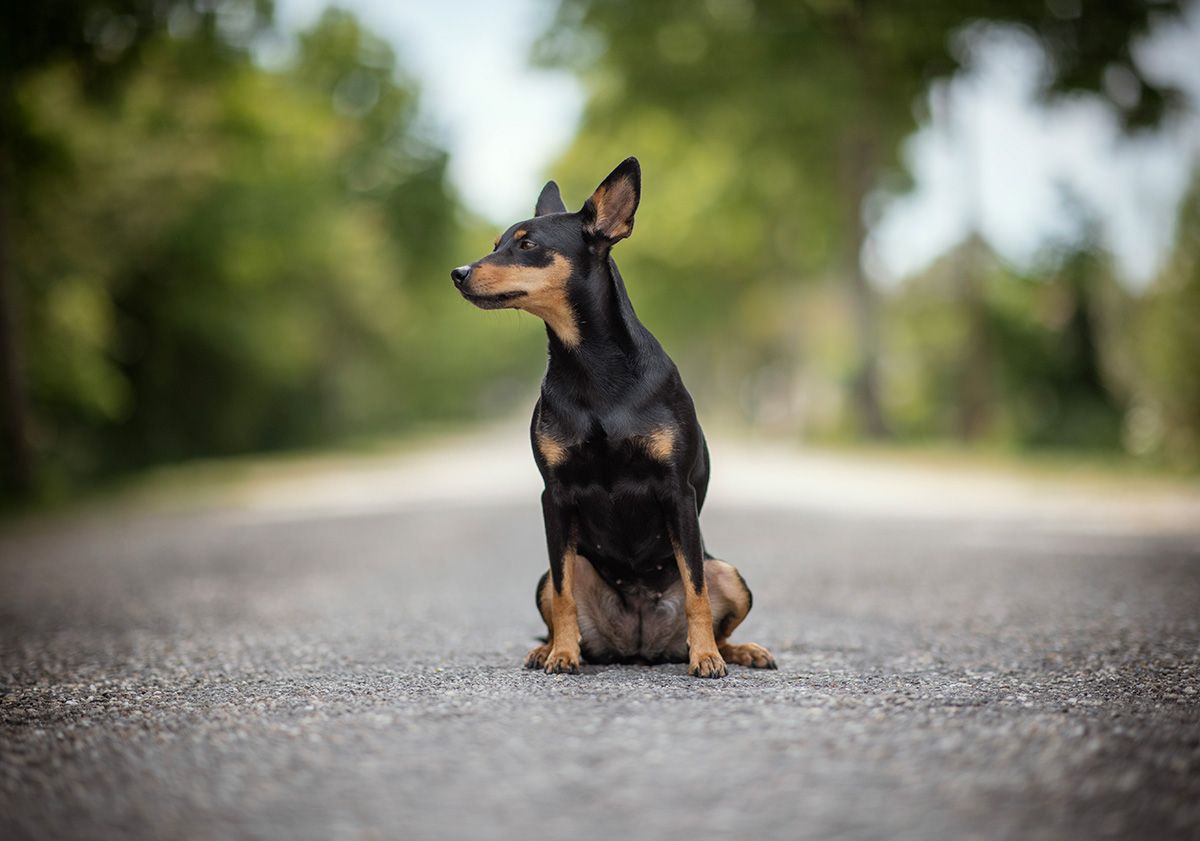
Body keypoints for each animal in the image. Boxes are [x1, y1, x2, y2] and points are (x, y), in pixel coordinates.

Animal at [451, 157, 777, 681]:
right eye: (495, 243)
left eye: (527, 244)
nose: (458, 273)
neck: (592, 367)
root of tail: (640, 648)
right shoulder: (555, 496)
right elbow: (563, 594)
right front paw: (562, 655)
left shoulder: (676, 491)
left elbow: (696, 591)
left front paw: (705, 657)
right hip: (552, 573)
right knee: (561, 595)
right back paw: (553, 649)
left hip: (729, 571)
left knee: (714, 605)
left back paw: (733, 650)